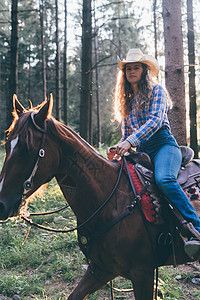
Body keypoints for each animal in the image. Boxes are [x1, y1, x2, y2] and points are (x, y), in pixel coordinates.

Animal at [0, 95, 199, 298]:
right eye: (7, 145)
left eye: (26, 147)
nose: (1, 205)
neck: (111, 201)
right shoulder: (101, 269)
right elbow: (75, 295)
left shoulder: (142, 273)